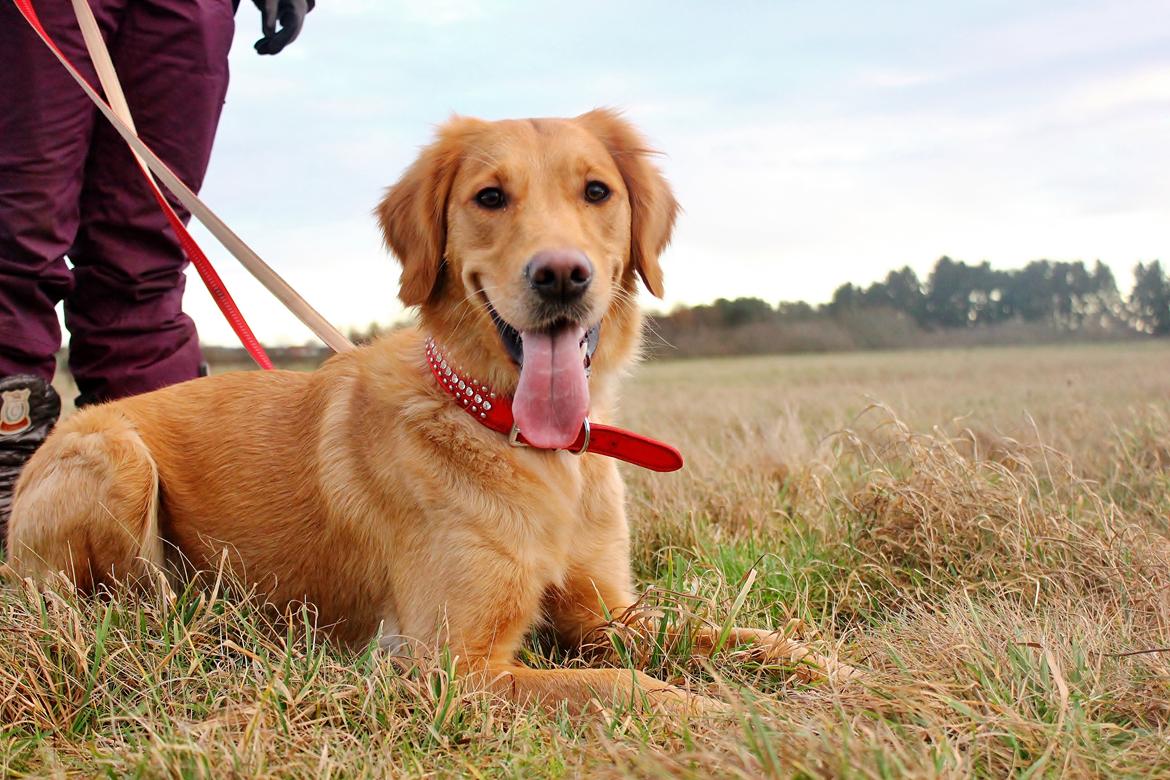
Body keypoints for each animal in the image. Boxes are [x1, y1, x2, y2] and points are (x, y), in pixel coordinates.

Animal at [6, 109, 851, 715]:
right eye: (490, 197)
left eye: (597, 191)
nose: (561, 275)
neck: (515, 435)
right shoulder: (453, 665)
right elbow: (622, 688)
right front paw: (730, 716)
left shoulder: (607, 615)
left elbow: (729, 631)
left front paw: (820, 667)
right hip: (115, 460)